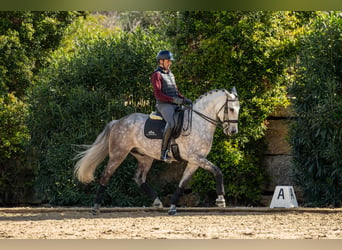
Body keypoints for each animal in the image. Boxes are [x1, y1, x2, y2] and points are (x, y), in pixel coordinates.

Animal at [74, 88, 240, 215]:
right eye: (231, 109)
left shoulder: (194, 161)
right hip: (118, 154)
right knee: (105, 176)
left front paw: (172, 206)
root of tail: (118, 121)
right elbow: (217, 171)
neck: (200, 123)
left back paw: (157, 202)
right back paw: (95, 208)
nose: (233, 131)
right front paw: (221, 199)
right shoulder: (195, 157)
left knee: (139, 178)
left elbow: (183, 183)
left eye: (239, 110)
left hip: (145, 157)